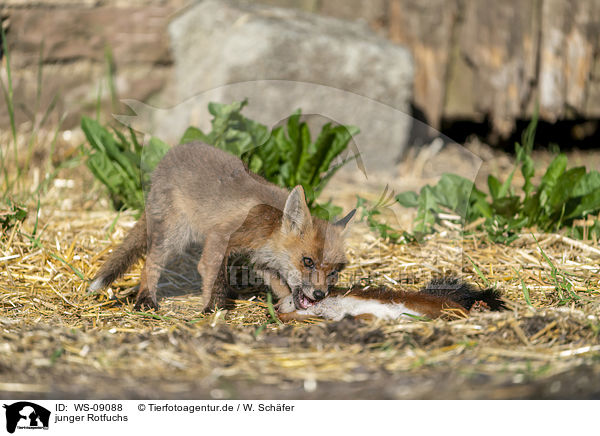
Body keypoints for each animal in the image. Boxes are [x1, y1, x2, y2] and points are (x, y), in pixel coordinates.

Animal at [88, 141, 356, 312]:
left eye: (334, 272)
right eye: (307, 261)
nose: (320, 295)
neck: (270, 228)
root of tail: (164, 161)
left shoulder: (260, 259)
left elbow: (280, 285)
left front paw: (285, 303)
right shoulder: (222, 235)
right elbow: (211, 274)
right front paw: (213, 308)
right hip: (175, 235)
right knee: (150, 263)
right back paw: (146, 299)